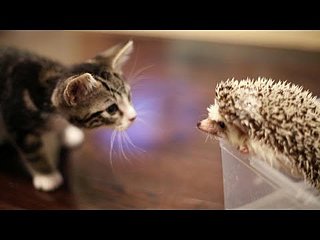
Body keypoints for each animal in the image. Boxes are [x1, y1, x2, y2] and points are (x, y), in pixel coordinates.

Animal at [0, 40, 136, 191]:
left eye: (129, 96)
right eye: (112, 109)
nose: (133, 117)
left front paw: (68, 133)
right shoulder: (17, 118)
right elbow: (33, 150)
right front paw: (47, 176)